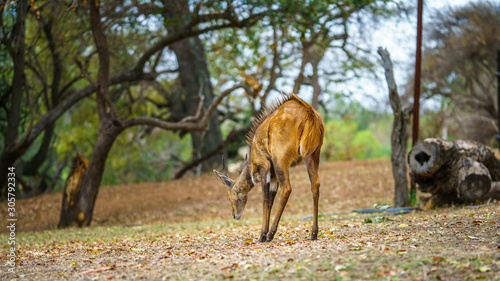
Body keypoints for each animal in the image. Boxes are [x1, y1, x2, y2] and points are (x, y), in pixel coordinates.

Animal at [212, 92, 324, 241]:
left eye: (229, 196)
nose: (235, 215)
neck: (251, 159)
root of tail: (309, 111)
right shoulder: (274, 175)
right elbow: (270, 200)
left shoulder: (265, 166)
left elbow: (265, 199)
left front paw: (262, 235)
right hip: (312, 155)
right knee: (315, 185)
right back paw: (313, 233)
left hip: (280, 159)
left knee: (287, 188)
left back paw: (271, 234)